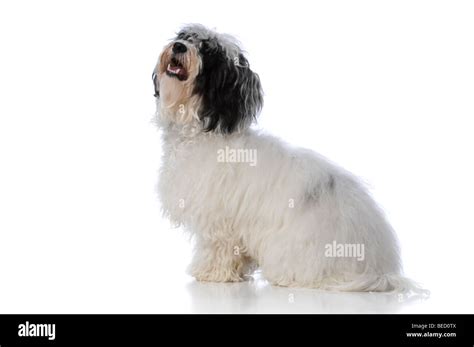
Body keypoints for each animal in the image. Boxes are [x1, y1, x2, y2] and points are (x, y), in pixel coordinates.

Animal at [154, 23, 420, 292]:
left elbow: (217, 247)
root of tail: (378, 270)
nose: (179, 47)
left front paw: (211, 273)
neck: (201, 132)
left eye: (208, 51)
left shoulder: (219, 219)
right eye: (184, 37)